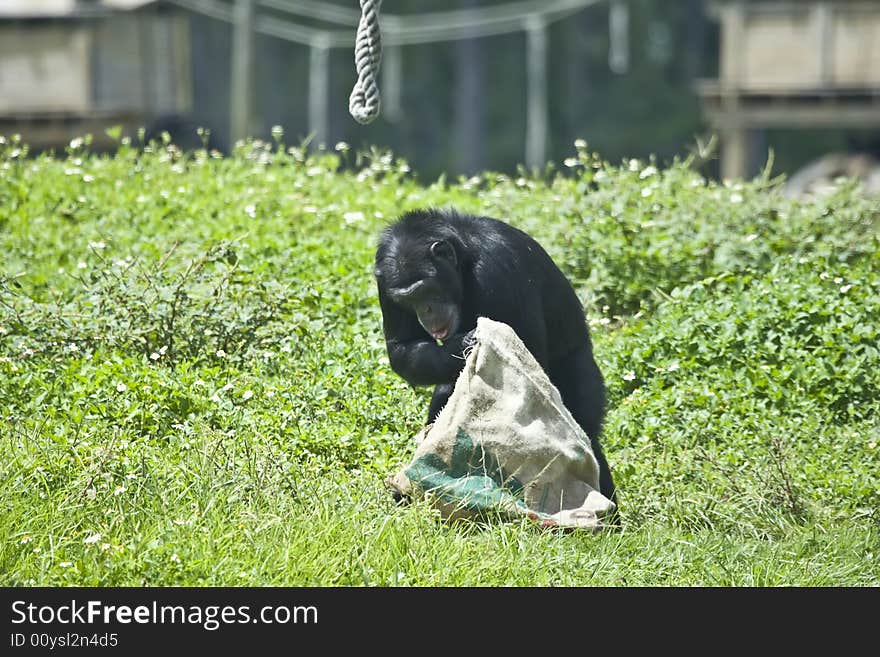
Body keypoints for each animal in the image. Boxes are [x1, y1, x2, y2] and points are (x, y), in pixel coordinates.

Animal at [374, 208, 616, 500]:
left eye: (425, 290)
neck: (465, 261)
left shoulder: (497, 270)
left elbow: (524, 359)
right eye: (407, 300)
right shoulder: (384, 284)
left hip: (582, 374)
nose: (426, 311)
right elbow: (402, 347)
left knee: (585, 429)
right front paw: (462, 343)